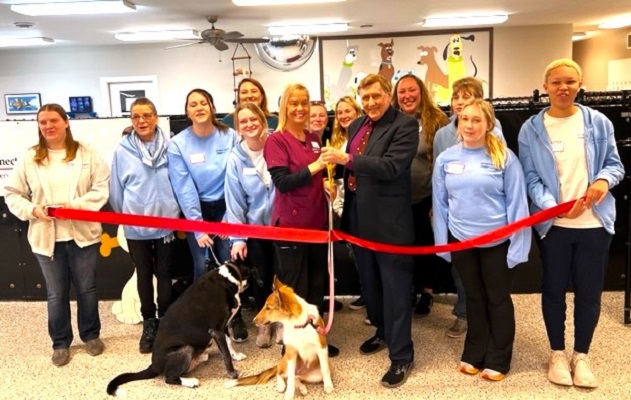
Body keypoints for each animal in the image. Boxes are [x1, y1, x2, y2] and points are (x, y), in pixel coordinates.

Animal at [107, 258, 260, 396]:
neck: (230, 275)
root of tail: (153, 365)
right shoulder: (216, 330)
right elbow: (226, 355)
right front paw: (233, 374)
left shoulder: (224, 326)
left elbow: (229, 345)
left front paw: (236, 355)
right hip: (186, 349)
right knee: (169, 378)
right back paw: (190, 382)